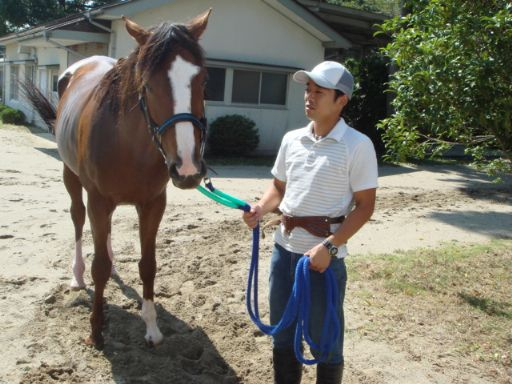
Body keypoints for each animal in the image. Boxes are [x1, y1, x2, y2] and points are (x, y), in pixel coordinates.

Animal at [23, 10, 212, 350]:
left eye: (203, 80)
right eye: (147, 85)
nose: (188, 167)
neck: (127, 143)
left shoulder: (153, 204)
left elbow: (148, 265)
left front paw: (152, 328)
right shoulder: (98, 200)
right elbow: (99, 267)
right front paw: (96, 331)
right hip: (72, 178)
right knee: (78, 220)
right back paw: (77, 277)